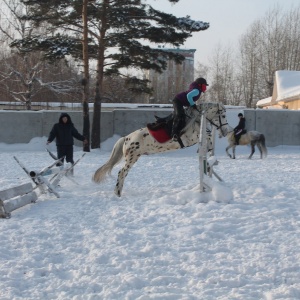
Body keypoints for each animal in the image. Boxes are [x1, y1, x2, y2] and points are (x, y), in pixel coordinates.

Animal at [92, 102, 229, 198]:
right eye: (223, 115)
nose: (225, 132)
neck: (195, 119)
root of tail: (126, 138)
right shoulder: (191, 138)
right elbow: (208, 135)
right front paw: (209, 147)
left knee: (123, 173)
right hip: (132, 157)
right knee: (122, 173)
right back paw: (118, 193)